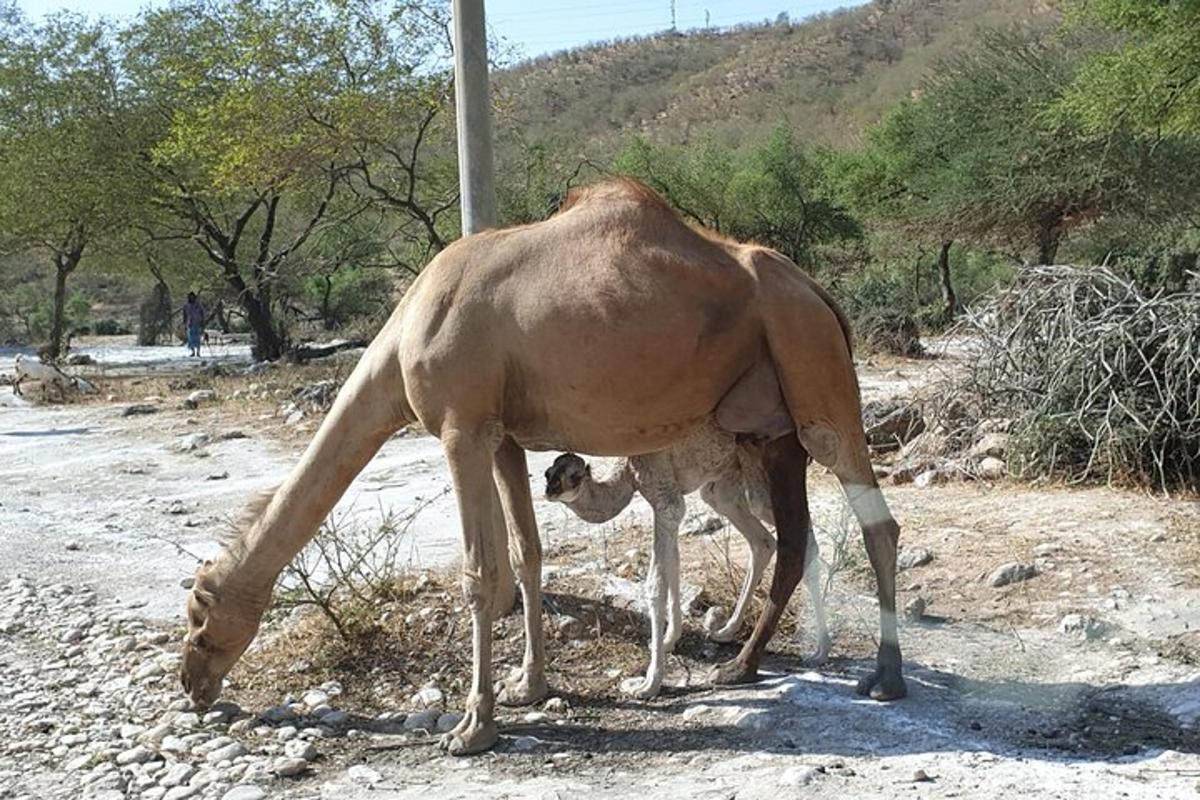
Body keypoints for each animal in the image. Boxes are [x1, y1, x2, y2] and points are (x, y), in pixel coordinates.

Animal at [542, 422, 825, 695]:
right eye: (549, 473)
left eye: (574, 477)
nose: (550, 491)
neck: (629, 471)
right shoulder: (668, 503)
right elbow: (673, 567)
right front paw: (669, 639)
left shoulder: (666, 501)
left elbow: (655, 585)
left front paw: (649, 683)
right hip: (725, 484)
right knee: (762, 541)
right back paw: (726, 632)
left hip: (759, 478)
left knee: (800, 538)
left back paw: (820, 649)